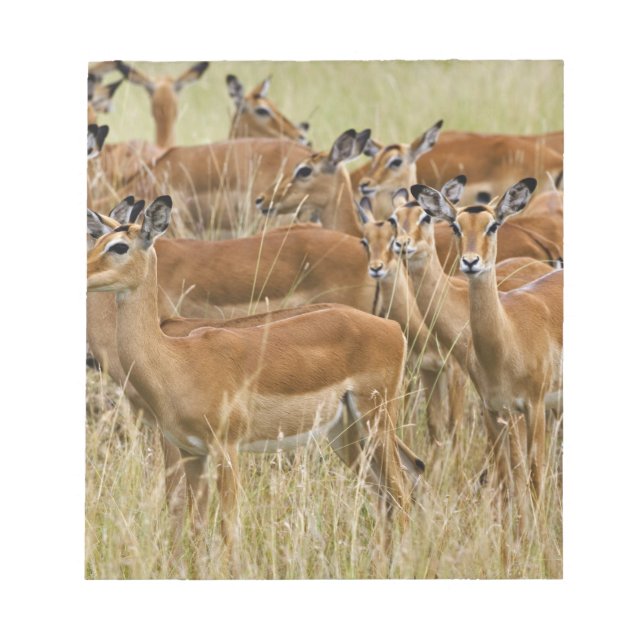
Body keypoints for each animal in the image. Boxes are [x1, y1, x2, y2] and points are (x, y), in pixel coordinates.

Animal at [87, 196, 424, 559]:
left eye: (119, 246)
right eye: (97, 241)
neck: (175, 357)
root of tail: (392, 328)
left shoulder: (225, 449)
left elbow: (226, 529)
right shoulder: (192, 452)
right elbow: (196, 526)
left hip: (376, 420)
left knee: (400, 490)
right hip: (344, 432)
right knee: (388, 490)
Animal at [410, 178, 562, 504]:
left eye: (492, 225)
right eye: (455, 226)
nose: (470, 262)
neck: (508, 339)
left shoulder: (534, 407)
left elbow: (534, 479)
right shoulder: (494, 410)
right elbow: (506, 482)